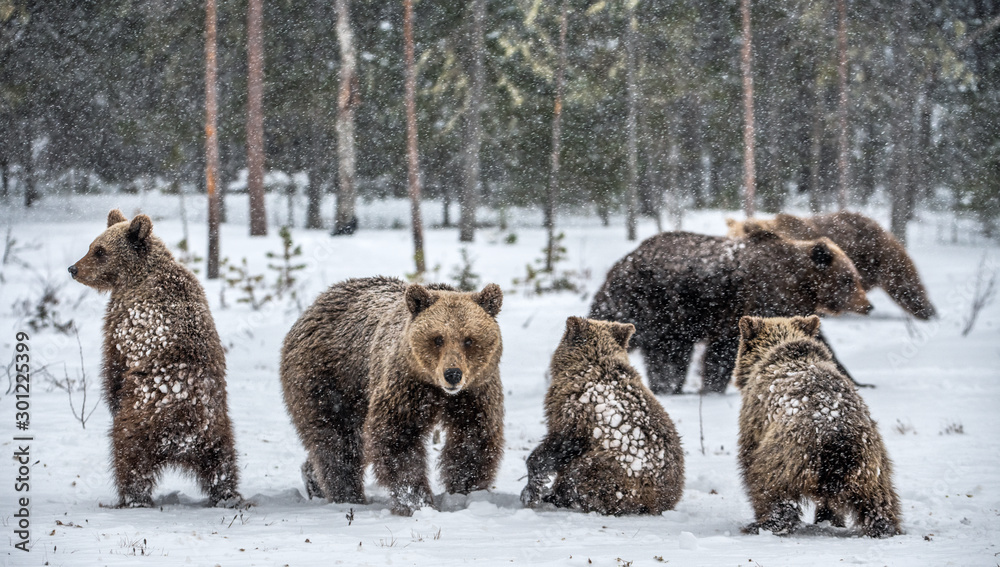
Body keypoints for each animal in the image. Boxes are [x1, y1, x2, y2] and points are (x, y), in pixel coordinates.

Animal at [68, 209, 241, 508]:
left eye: (100, 251)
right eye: (92, 246)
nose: (74, 268)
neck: (136, 276)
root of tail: (183, 438)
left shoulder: (122, 319)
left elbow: (113, 364)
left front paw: (111, 395)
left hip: (140, 420)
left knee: (129, 459)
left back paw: (130, 499)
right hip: (218, 428)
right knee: (223, 463)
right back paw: (227, 495)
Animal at [280, 276, 505, 516]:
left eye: (468, 339)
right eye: (438, 338)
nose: (452, 374)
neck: (436, 389)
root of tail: (314, 306)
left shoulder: (475, 392)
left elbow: (473, 439)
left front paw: (465, 492)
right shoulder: (406, 388)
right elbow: (398, 439)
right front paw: (416, 501)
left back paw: (313, 480)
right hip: (330, 382)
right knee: (338, 441)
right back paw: (348, 496)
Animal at [521, 317, 684, 515]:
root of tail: (662, 502)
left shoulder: (576, 414)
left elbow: (560, 445)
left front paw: (531, 490)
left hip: (615, 472)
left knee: (580, 475)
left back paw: (559, 497)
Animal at [589, 226, 871, 395]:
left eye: (856, 277)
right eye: (848, 278)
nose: (868, 305)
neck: (800, 281)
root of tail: (621, 264)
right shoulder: (765, 299)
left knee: (671, 354)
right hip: (653, 304)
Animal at [733, 315, 901, 538]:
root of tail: (838, 435)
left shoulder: (756, 419)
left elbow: (748, 456)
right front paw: (831, 518)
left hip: (788, 452)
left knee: (769, 486)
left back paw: (765, 524)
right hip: (871, 463)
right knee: (879, 500)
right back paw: (882, 527)